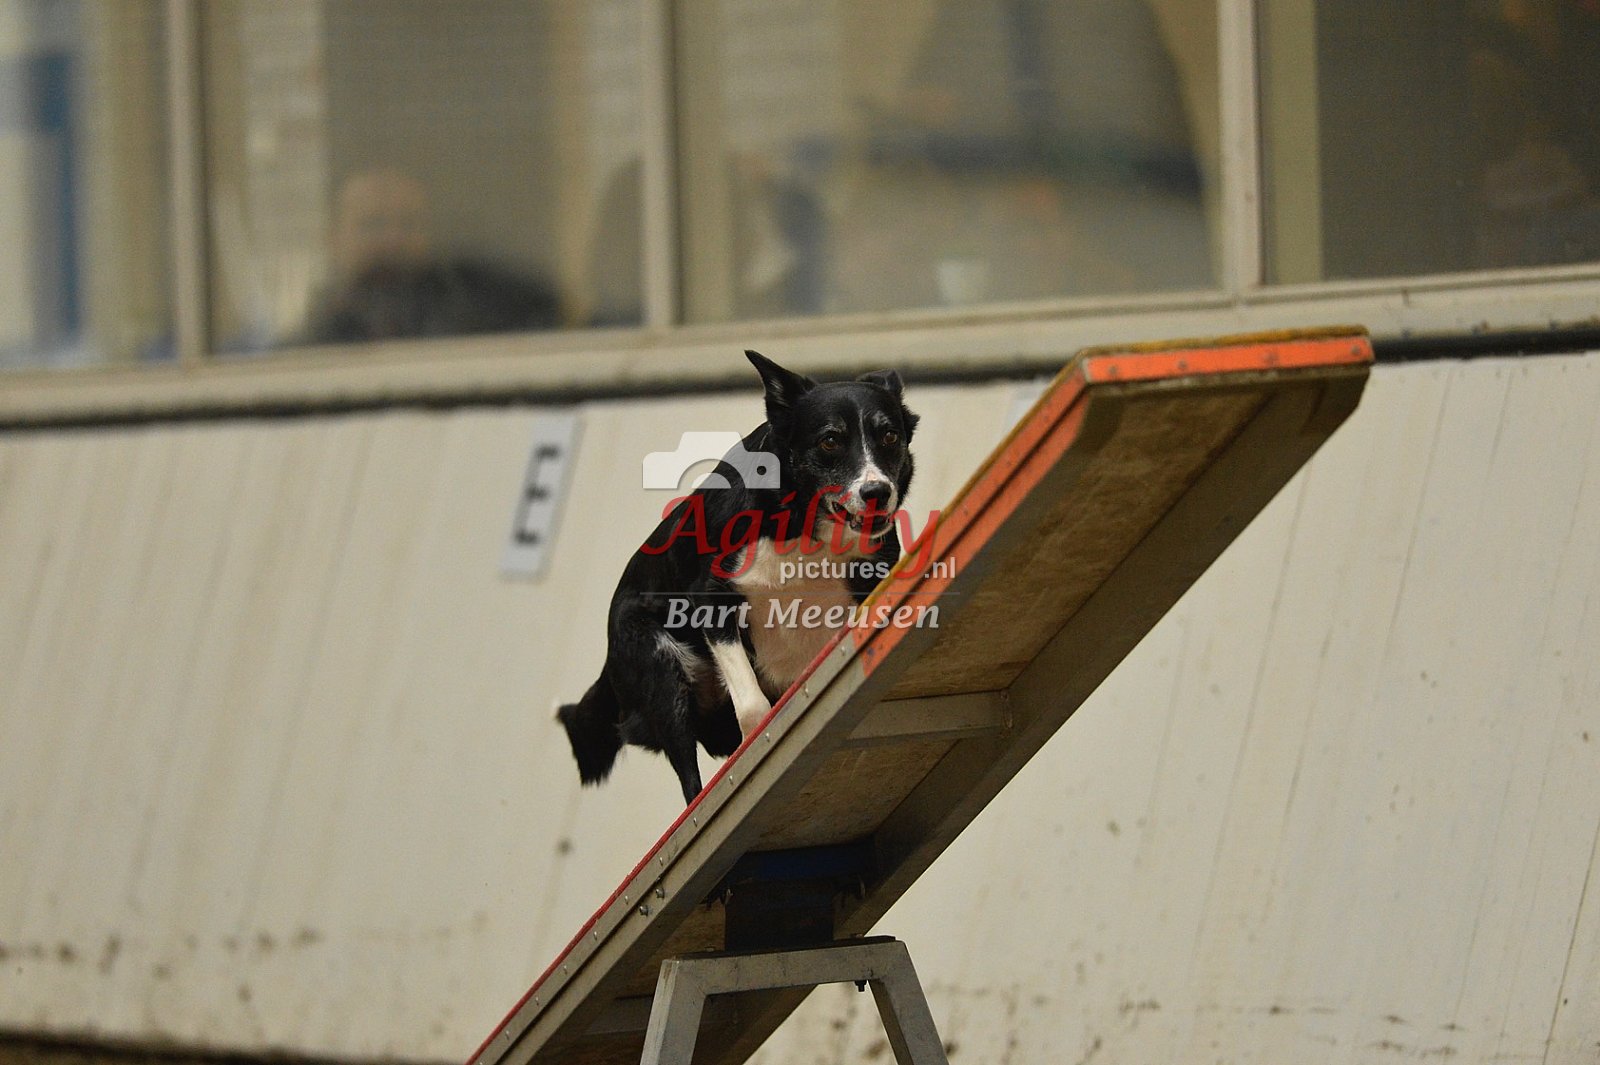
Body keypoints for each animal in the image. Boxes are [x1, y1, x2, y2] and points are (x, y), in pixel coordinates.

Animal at [557, 350, 919, 804]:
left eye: (889, 436)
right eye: (830, 440)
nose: (877, 493)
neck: (801, 521)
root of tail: (608, 663)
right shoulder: (711, 597)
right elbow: (750, 703)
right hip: (659, 670)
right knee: (689, 776)